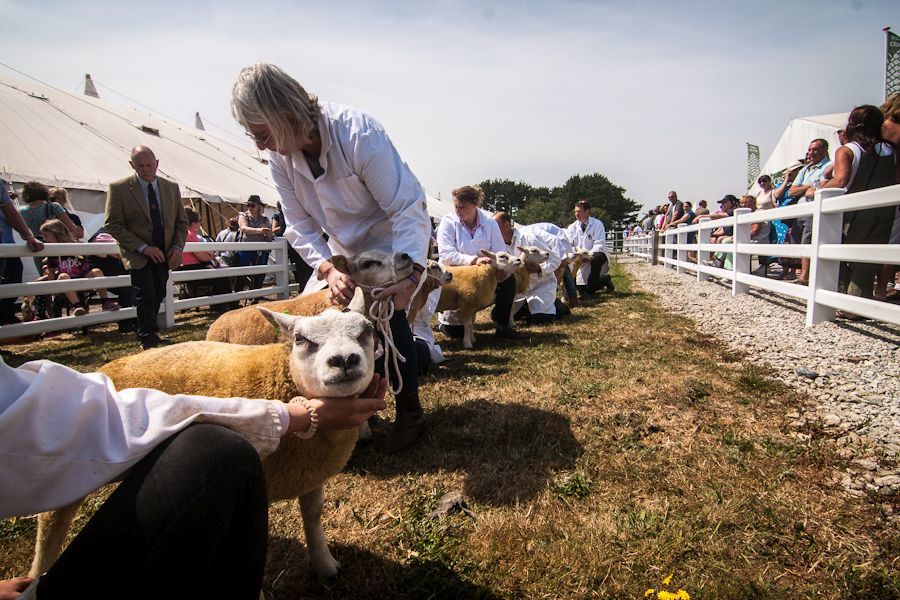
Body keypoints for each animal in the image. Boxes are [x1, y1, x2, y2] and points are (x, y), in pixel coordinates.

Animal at [32, 296, 376, 580]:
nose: (344, 360)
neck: (282, 377)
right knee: (51, 518)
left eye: (367, 330)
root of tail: (106, 369)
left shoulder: (310, 472)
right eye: (300, 339)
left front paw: (325, 564)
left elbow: (313, 514)